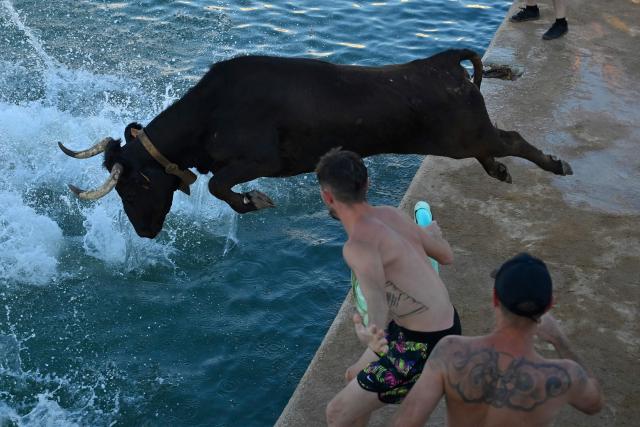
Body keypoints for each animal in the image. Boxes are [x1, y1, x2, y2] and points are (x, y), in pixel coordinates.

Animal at [58, 49, 572, 238]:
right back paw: (499, 171)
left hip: (467, 134)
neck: (211, 111)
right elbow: (216, 186)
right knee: (497, 148)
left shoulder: (259, 159)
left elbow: (219, 187)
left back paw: (555, 164)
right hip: (462, 139)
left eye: (134, 188)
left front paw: (255, 201)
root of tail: (445, 61)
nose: (144, 233)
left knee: (512, 139)